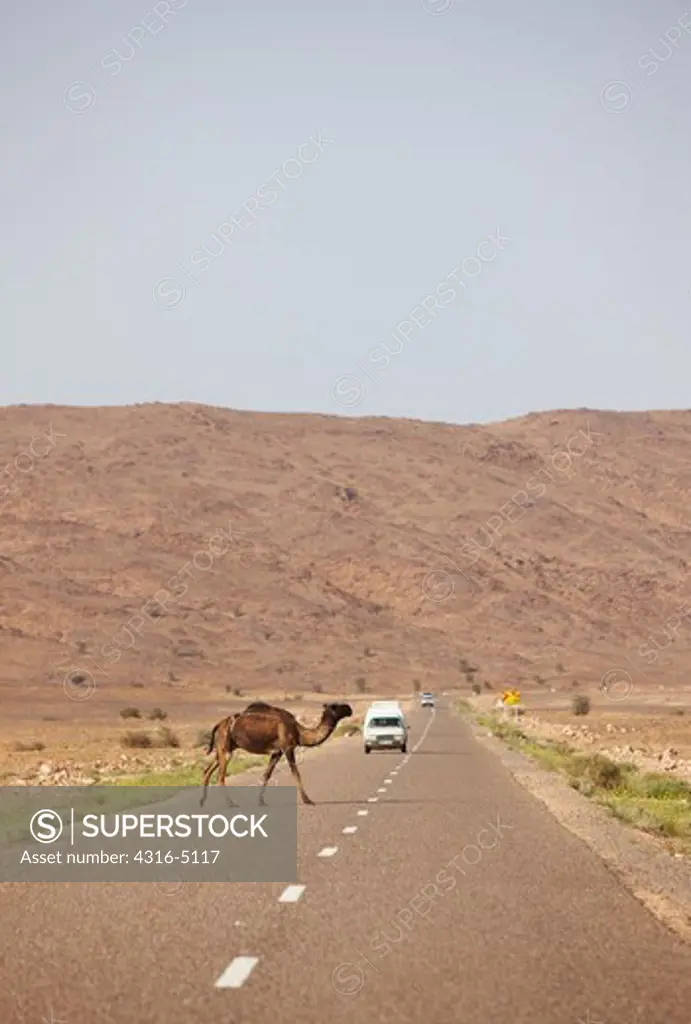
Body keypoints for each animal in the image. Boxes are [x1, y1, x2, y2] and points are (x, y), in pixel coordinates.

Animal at [198, 696, 352, 806]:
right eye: (337, 706)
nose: (350, 708)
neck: (299, 731)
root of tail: (219, 724)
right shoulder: (288, 748)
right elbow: (296, 773)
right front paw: (308, 800)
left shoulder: (276, 752)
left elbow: (267, 774)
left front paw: (261, 801)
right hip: (225, 747)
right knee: (220, 776)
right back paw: (231, 803)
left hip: (223, 747)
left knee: (207, 770)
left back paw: (202, 802)